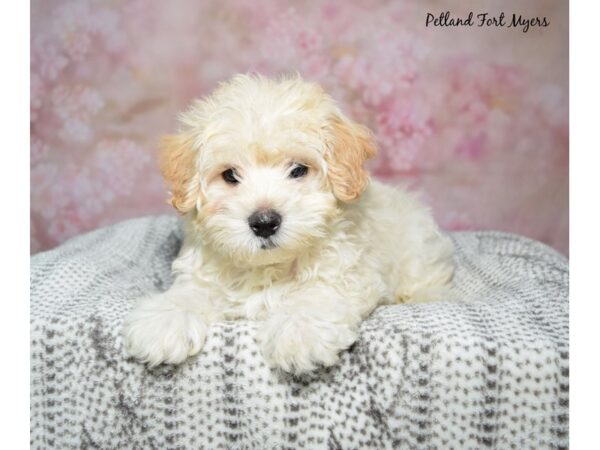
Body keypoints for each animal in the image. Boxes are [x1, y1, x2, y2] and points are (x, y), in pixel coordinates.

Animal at [123, 74, 454, 374]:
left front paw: (299, 330)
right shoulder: (203, 273)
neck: (269, 266)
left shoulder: (348, 273)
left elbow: (319, 295)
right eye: (230, 175)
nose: (264, 222)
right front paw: (165, 320)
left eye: (298, 170)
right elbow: (190, 292)